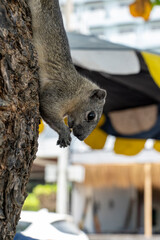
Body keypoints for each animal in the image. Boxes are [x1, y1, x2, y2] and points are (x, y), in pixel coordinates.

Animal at [28, 0, 107, 147]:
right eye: (91, 116)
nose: (81, 137)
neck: (77, 91)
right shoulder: (59, 92)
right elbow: (48, 108)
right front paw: (64, 133)